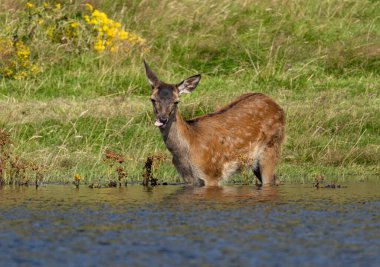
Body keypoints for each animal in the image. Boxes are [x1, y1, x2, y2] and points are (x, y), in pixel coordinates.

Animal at [144, 61, 284, 187]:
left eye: (176, 101)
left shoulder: (212, 173)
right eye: (152, 99)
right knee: (276, 179)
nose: (163, 119)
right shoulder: (189, 179)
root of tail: (278, 107)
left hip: (272, 147)